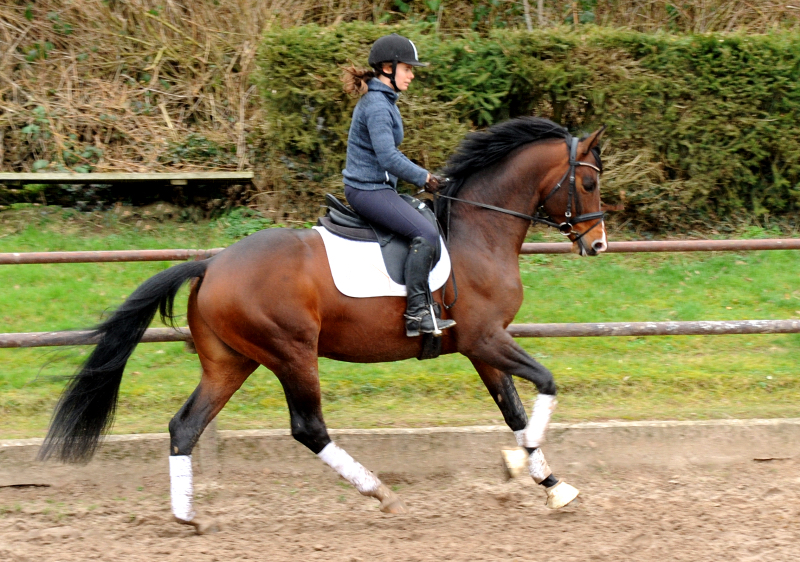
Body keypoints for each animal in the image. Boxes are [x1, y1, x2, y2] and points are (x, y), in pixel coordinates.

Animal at [39, 117, 608, 528]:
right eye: (587, 181)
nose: (598, 244)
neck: (478, 233)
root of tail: (212, 264)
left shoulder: (480, 346)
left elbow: (513, 409)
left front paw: (553, 485)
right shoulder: (486, 338)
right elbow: (544, 385)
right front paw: (523, 464)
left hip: (231, 362)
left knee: (185, 426)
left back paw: (187, 516)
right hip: (291, 352)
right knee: (308, 427)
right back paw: (381, 494)